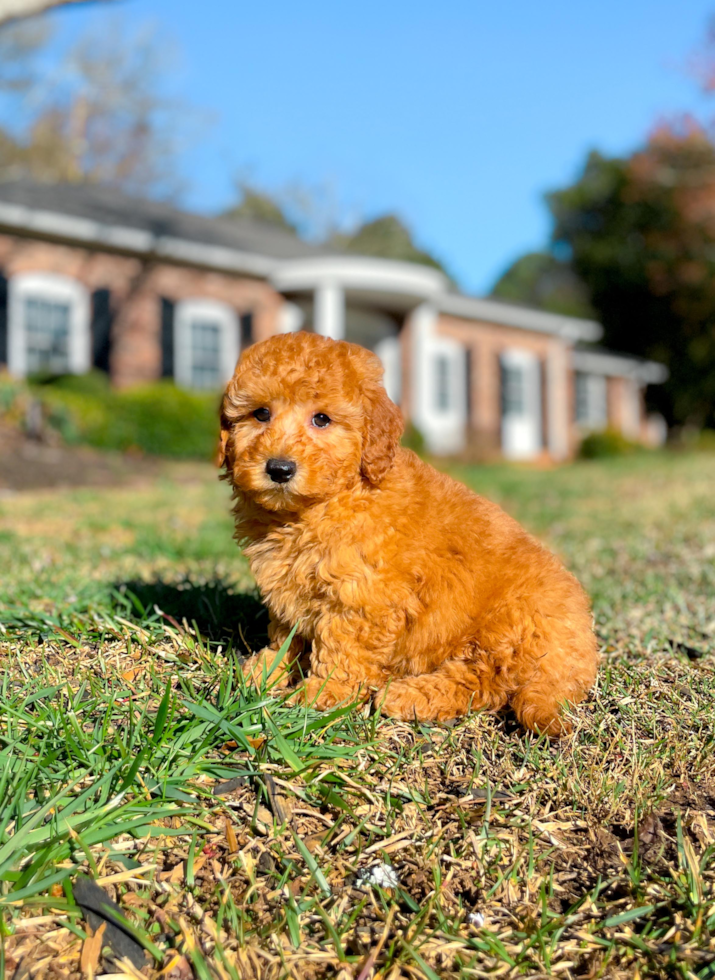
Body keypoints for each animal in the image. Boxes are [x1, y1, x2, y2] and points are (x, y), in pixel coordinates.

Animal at [220, 332, 600, 736]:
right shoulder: (289, 584)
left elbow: (341, 648)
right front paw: (266, 670)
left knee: (485, 681)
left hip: (508, 626)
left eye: (321, 419)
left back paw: (408, 696)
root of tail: (579, 655)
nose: (279, 469)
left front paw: (321, 694)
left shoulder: (363, 596)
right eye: (260, 414)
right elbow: (287, 631)